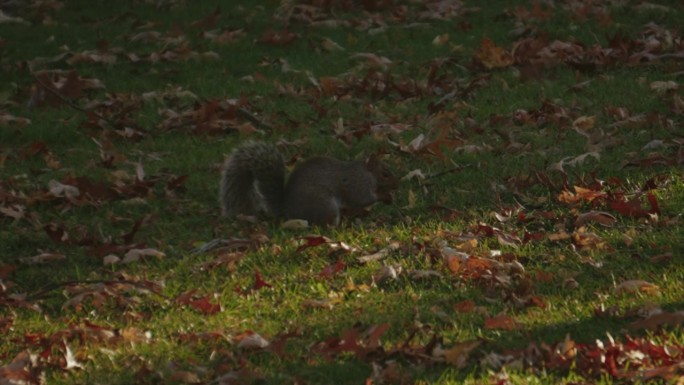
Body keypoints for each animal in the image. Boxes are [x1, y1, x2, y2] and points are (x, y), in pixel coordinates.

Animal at [219, 140, 398, 225]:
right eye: (385, 174)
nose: (397, 186)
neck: (366, 173)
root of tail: (288, 211)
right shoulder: (358, 184)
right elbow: (363, 199)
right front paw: (385, 196)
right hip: (325, 205)